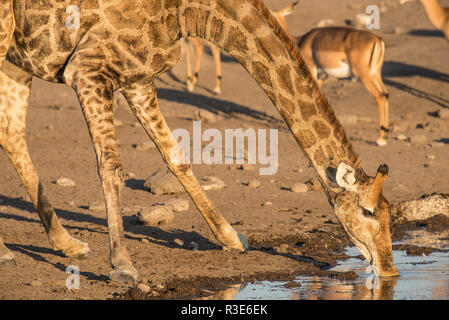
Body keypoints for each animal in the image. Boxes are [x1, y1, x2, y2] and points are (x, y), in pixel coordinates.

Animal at [0, 0, 400, 284]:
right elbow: (111, 166)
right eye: (367, 212)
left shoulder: (137, 78)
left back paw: (66, 243)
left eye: (389, 213)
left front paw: (231, 237)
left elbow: (175, 155)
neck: (185, 13)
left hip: (16, 58)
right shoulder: (88, 70)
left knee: (11, 131)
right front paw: (123, 265)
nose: (390, 267)